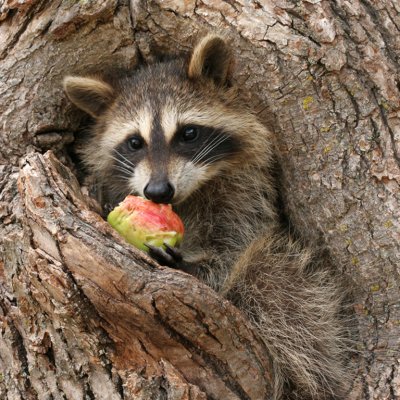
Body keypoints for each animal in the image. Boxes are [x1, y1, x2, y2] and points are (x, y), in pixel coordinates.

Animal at [63, 35, 350, 400]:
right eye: (134, 142)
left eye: (188, 133)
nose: (158, 191)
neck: (189, 195)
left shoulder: (248, 190)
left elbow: (238, 245)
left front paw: (188, 266)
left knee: (274, 278)